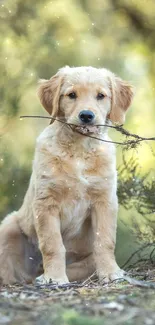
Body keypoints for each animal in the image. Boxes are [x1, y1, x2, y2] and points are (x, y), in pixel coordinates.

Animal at [0, 66, 133, 284]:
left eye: (101, 96)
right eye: (71, 95)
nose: (86, 115)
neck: (79, 150)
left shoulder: (104, 200)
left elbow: (105, 240)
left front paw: (111, 272)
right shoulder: (46, 202)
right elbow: (52, 244)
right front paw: (54, 277)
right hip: (9, 226)